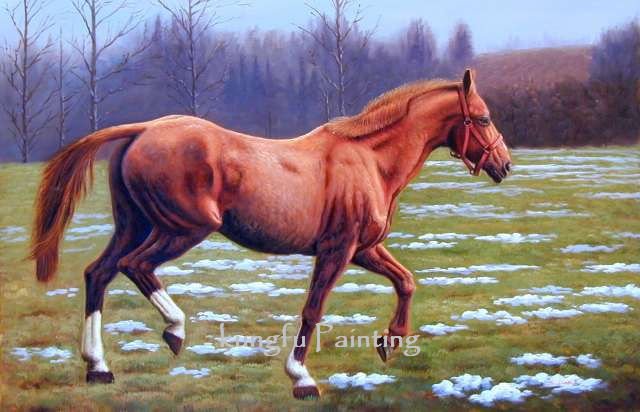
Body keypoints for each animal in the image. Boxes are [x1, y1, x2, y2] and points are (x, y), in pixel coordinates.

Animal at [30, 69, 511, 399]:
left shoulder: (365, 249)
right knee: (135, 267)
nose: (504, 165)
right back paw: (174, 330)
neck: (370, 161)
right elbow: (313, 310)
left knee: (99, 274)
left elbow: (406, 281)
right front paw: (302, 379)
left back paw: (98, 367)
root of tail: (145, 129)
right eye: (484, 118)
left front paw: (389, 341)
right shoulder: (337, 251)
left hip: (135, 225)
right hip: (182, 228)